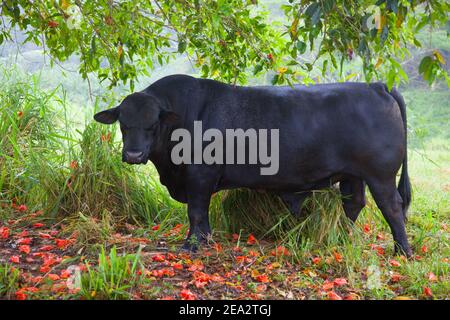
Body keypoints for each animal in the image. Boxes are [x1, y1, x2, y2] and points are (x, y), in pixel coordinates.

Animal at [94, 75, 412, 258]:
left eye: (152, 124)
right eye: (123, 124)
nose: (134, 154)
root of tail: (376, 86)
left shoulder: (199, 176)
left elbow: (196, 211)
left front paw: (192, 245)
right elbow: (201, 215)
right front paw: (204, 240)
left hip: (380, 175)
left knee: (393, 208)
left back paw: (402, 251)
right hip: (353, 175)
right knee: (353, 204)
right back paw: (342, 239)